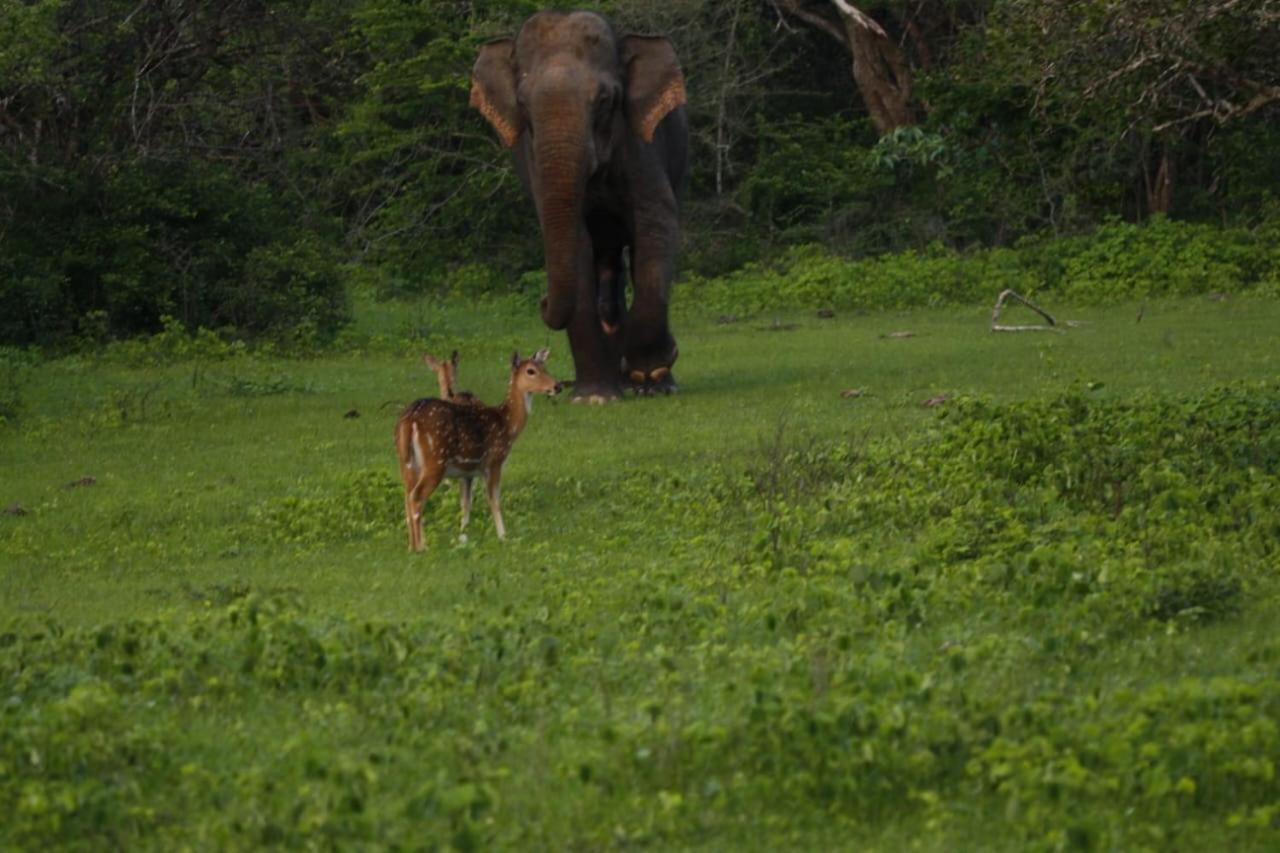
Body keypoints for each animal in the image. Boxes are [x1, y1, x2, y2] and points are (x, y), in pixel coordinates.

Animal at [394, 348, 560, 550]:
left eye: (544, 366)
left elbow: (466, 503)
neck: (507, 425)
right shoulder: (494, 461)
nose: (557, 386)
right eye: (531, 371)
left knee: (407, 497)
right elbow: (494, 499)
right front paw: (503, 536)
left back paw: (411, 546)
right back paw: (421, 547)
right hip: (435, 459)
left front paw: (463, 534)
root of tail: (409, 419)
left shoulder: (467, 471)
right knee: (416, 497)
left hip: (406, 462)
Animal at [471, 9, 691, 399]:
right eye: (523, 104)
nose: (543, 301)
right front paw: (593, 398)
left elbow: (656, 225)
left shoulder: (640, 143)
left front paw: (649, 374)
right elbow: (576, 242)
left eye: (604, 100)